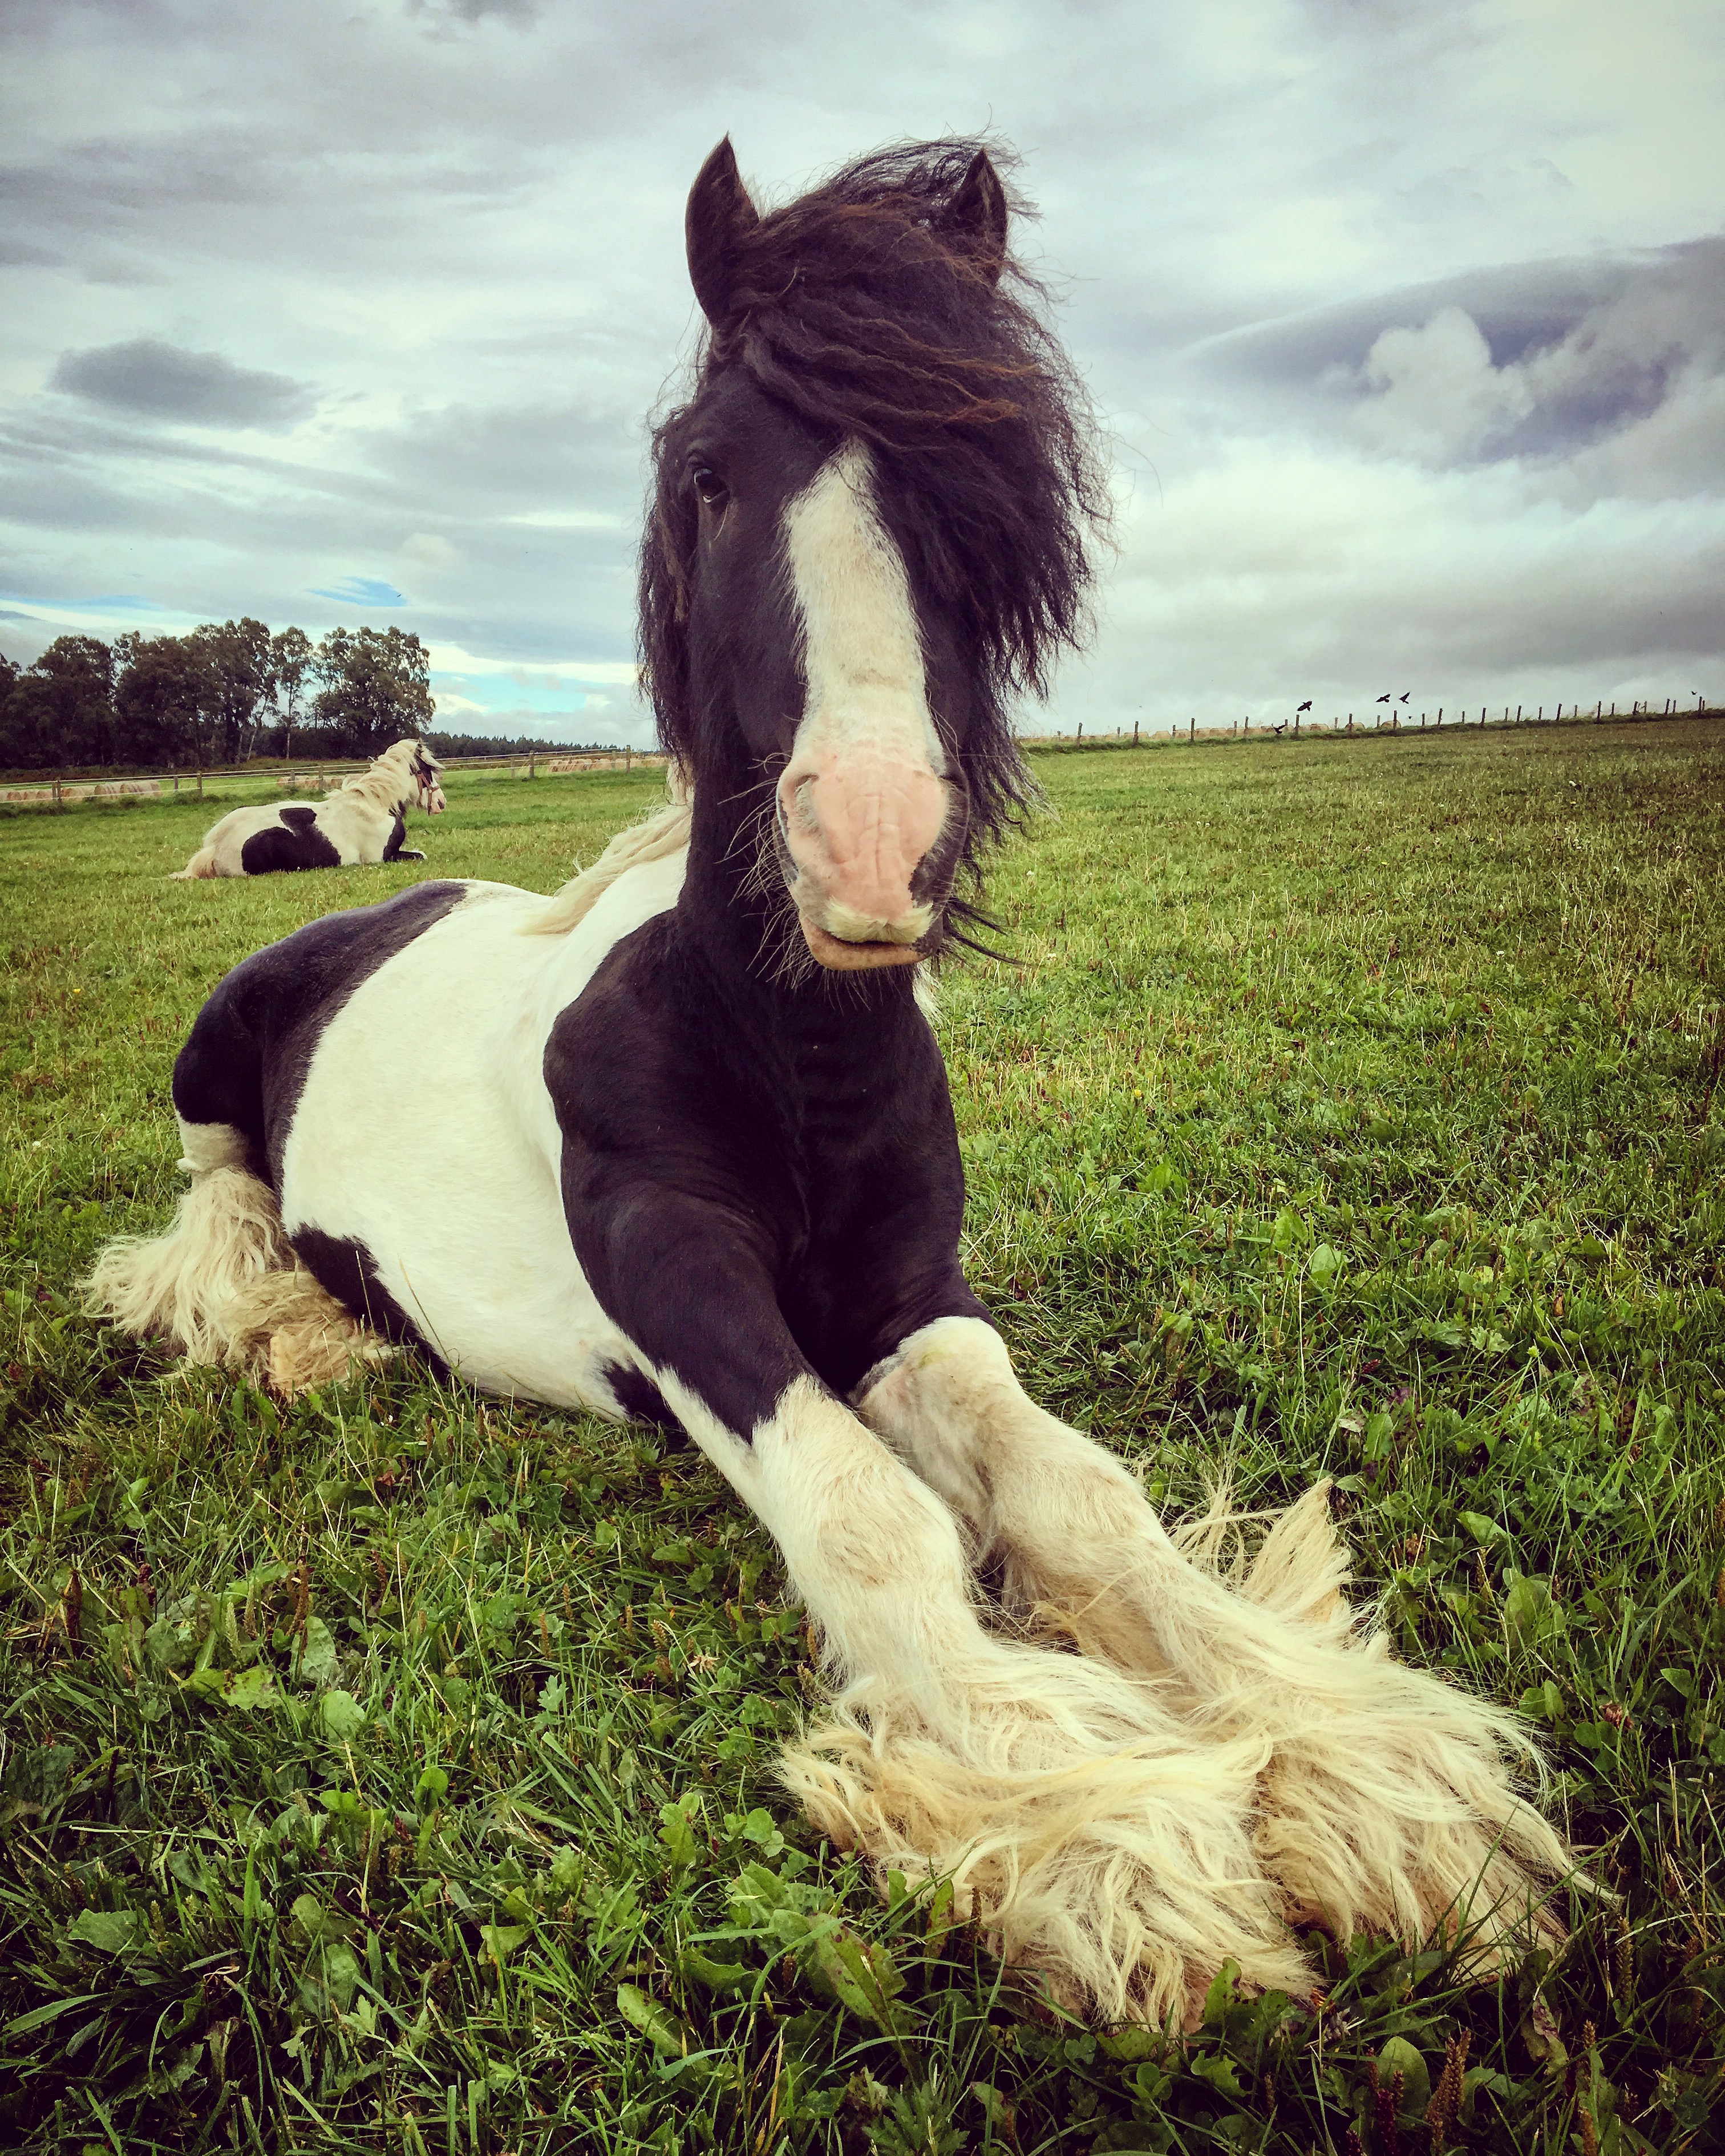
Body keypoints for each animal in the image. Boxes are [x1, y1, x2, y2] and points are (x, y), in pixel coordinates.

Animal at [168, 739, 446, 879]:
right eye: (427, 770)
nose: (441, 802)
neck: (374, 806)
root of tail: (214, 849)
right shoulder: (383, 858)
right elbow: (421, 855)